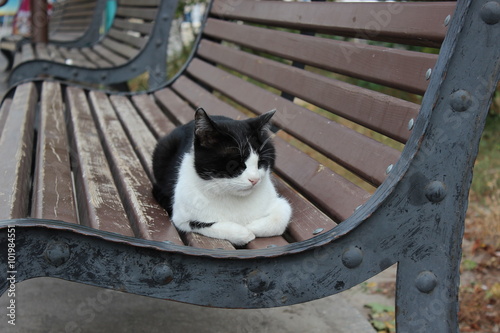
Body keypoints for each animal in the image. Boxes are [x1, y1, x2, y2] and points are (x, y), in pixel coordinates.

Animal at [153, 107, 292, 245]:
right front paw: (244, 232)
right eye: (234, 164)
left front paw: (253, 226)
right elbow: (203, 224)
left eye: (261, 162)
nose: (255, 179)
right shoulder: (181, 218)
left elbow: (282, 215)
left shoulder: (279, 202)